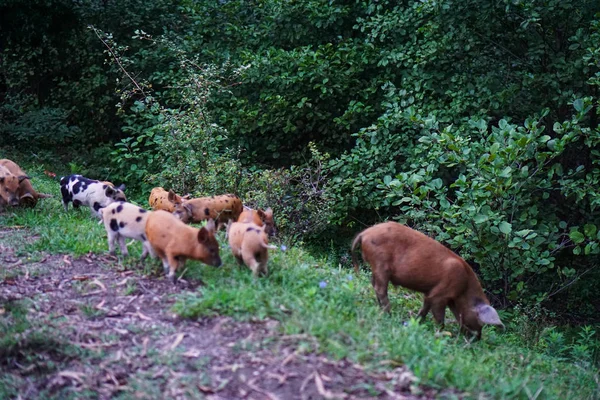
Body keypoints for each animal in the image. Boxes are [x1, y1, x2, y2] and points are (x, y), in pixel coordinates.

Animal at [352, 220, 502, 340]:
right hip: (380, 263)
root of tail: (364, 234)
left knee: (374, 285)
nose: (478, 339)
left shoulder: (432, 294)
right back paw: (389, 314)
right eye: (480, 322)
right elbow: (439, 316)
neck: (463, 288)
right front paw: (441, 334)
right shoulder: (440, 294)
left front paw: (416, 322)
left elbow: (425, 307)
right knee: (380, 289)